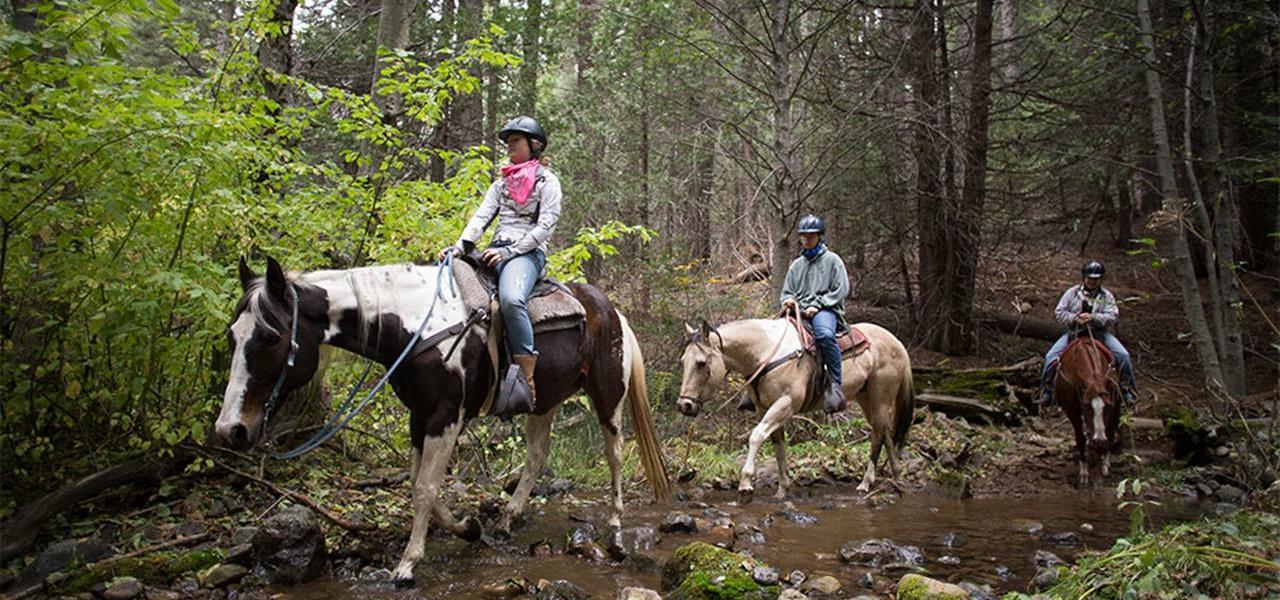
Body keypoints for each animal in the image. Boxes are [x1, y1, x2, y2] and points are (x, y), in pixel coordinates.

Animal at [212, 255, 670, 580]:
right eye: (232, 335)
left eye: (270, 337)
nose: (230, 429)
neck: (417, 325)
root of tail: (613, 312)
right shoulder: (419, 416)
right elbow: (420, 484)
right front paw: (470, 527)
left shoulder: (446, 416)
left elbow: (425, 489)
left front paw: (406, 565)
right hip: (544, 401)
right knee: (537, 455)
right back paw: (508, 519)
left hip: (608, 396)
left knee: (615, 452)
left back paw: (615, 524)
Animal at [675, 318, 916, 496]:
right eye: (683, 361)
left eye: (701, 363)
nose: (684, 405)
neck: (767, 353)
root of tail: (897, 343)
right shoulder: (765, 409)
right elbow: (778, 446)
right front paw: (782, 490)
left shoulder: (785, 403)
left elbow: (756, 436)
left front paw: (746, 481)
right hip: (866, 398)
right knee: (884, 432)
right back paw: (896, 475)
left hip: (881, 396)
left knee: (877, 435)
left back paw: (866, 482)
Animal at [1054, 332, 1126, 486]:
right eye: (1086, 406)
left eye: (1107, 406)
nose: (1099, 440)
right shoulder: (1072, 410)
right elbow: (1080, 438)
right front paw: (1084, 472)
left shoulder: (1114, 405)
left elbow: (1110, 432)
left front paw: (1104, 466)